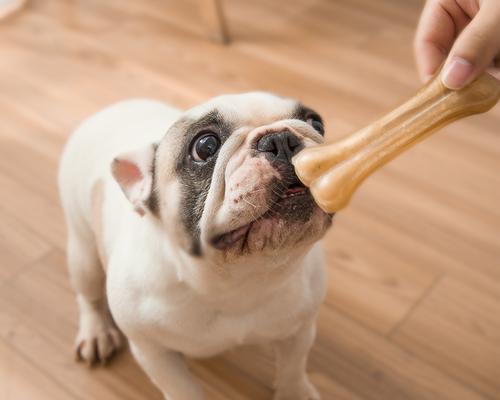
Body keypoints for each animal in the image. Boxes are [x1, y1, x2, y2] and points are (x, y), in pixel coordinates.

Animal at [57, 92, 332, 398]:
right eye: (205, 147)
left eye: (316, 123)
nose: (281, 139)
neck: (238, 280)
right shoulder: (153, 352)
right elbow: (181, 388)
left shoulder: (300, 328)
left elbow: (293, 367)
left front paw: (296, 392)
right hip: (83, 252)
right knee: (89, 295)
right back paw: (95, 332)